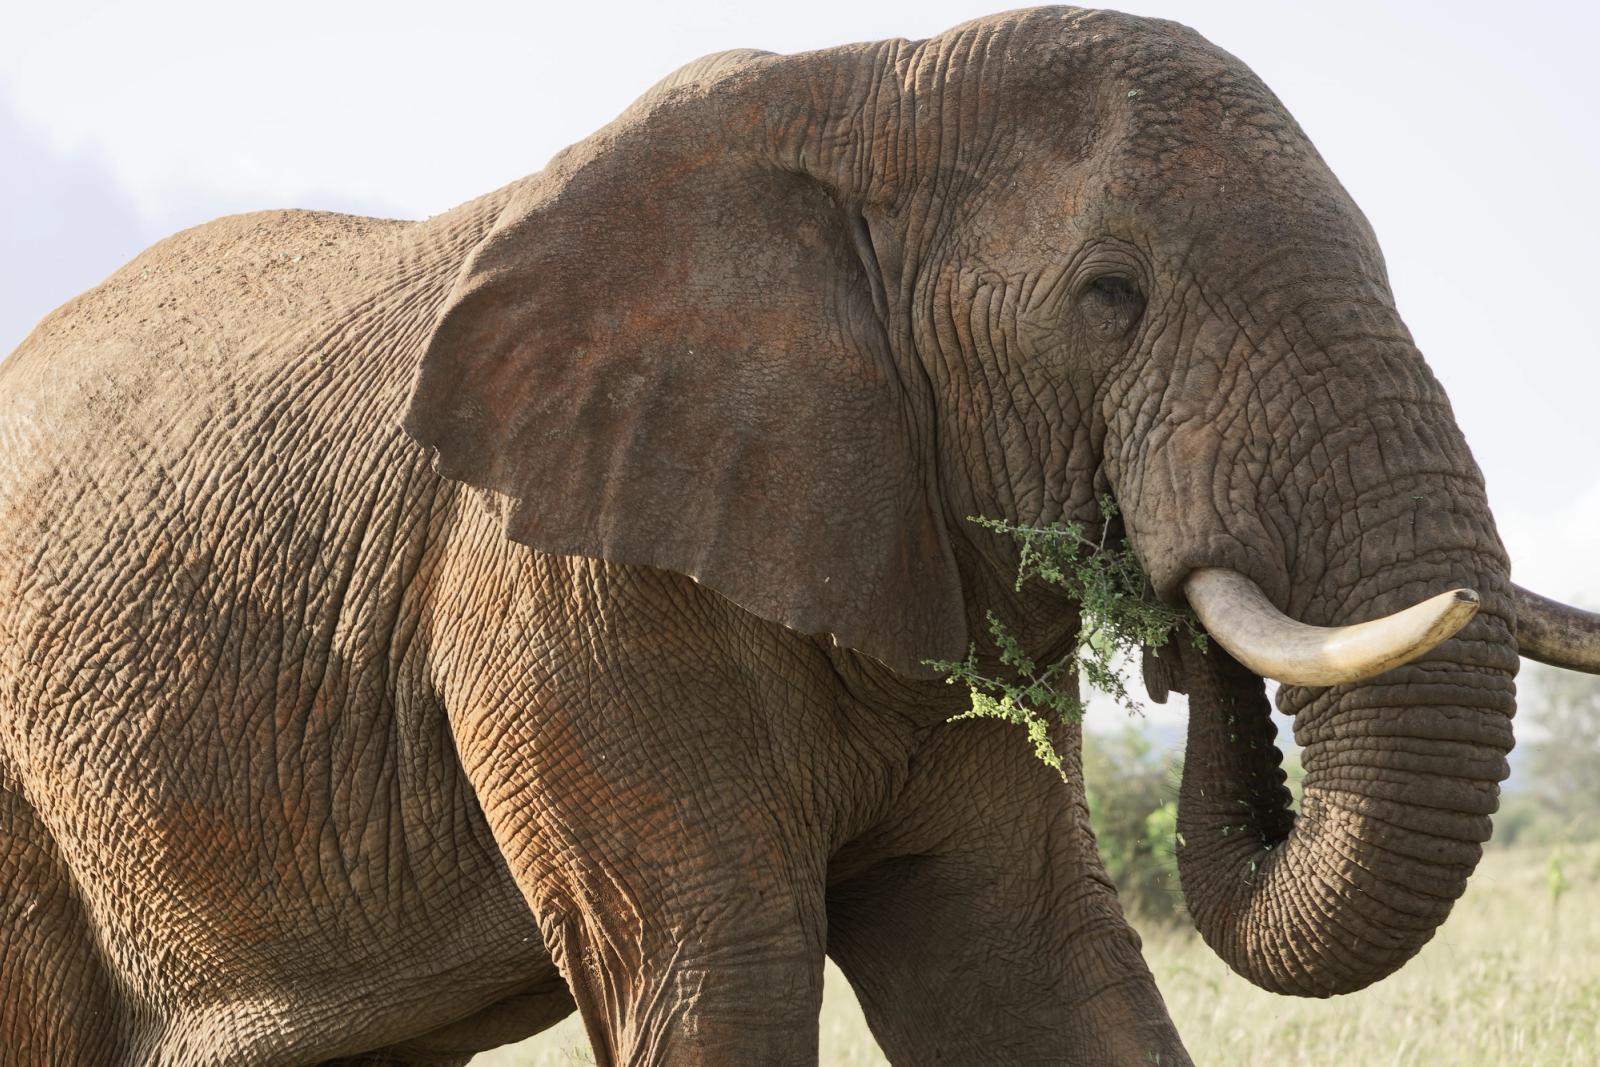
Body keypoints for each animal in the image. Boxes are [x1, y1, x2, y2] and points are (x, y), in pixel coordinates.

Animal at [3, 6, 1598, 1066]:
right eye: (1110, 295)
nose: (1181, 639)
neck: (865, 93)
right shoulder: (567, 594)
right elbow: (719, 966)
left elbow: (1024, 956)